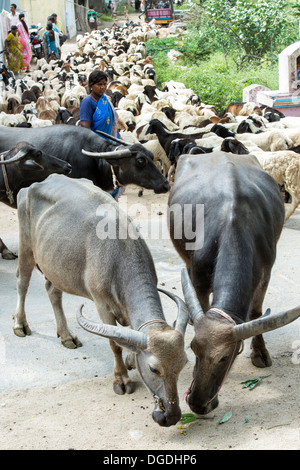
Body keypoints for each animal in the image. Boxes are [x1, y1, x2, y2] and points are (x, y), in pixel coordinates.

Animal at [14, 174, 188, 428]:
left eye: (184, 363)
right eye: (154, 369)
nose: (171, 416)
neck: (119, 256)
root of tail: (32, 186)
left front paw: (130, 359)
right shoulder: (101, 305)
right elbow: (114, 344)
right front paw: (121, 379)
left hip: (56, 267)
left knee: (52, 291)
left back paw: (66, 336)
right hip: (26, 248)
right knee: (22, 282)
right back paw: (20, 324)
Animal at [169, 151, 300, 414]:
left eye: (225, 356)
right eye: (193, 348)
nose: (197, 404)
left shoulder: (265, 273)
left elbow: (257, 313)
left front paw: (260, 353)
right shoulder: (199, 279)